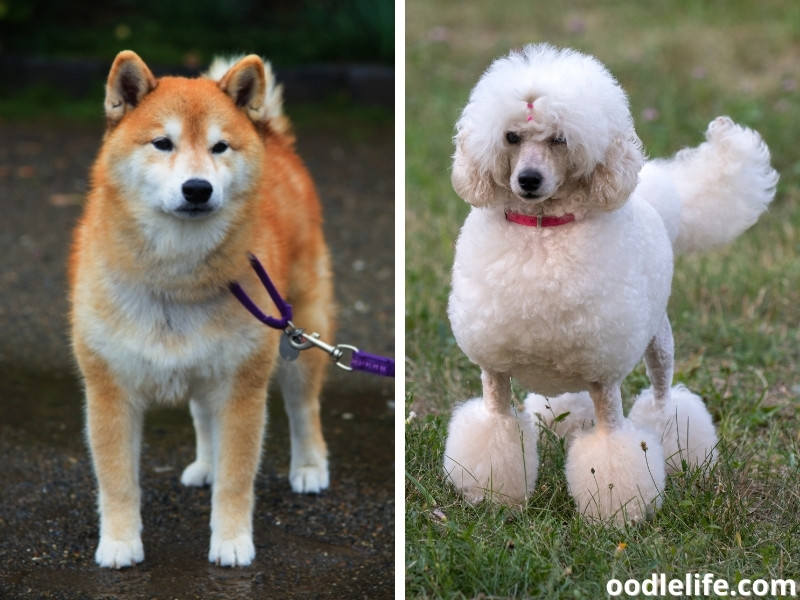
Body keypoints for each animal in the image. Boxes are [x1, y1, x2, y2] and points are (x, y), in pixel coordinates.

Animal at [67, 50, 332, 568]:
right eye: (162, 143)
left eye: (220, 147)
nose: (197, 188)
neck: (176, 280)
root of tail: (273, 137)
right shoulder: (109, 389)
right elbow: (117, 481)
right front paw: (120, 542)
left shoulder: (242, 389)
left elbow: (237, 479)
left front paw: (231, 541)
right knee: (204, 419)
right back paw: (205, 465)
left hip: (300, 335)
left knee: (303, 408)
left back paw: (310, 466)